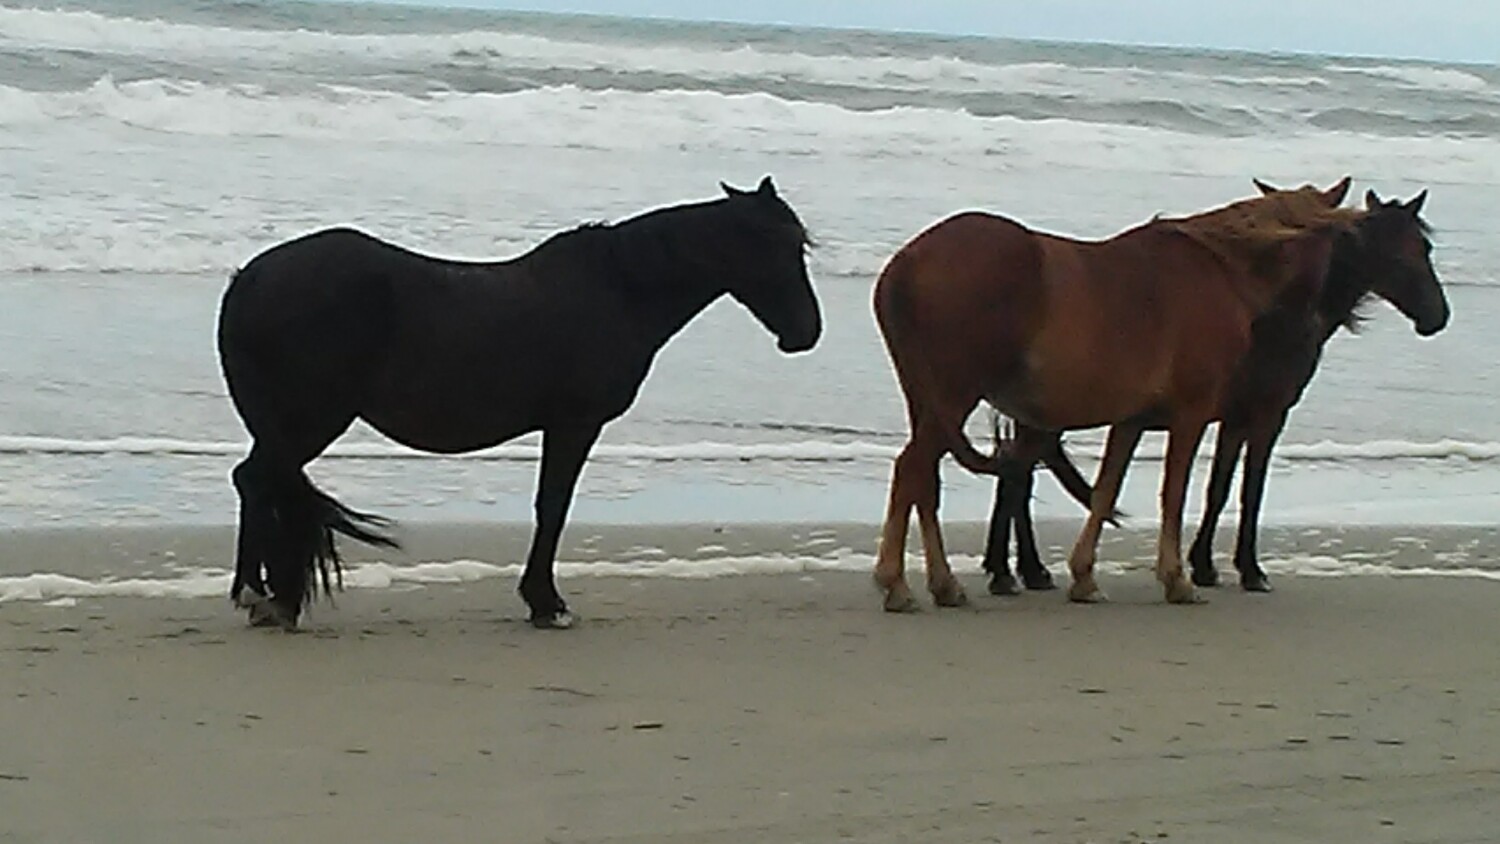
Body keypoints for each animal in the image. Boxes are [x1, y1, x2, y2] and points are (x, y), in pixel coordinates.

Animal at [217, 176, 822, 630]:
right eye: (781, 244)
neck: (619, 290)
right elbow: (553, 506)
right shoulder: (574, 423)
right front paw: (546, 603)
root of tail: (249, 279)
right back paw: (262, 596)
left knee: (257, 482)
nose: (806, 332)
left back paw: (264, 595)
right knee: (257, 480)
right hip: (310, 419)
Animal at [871, 185, 1358, 611]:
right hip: (955, 395)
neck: (1221, 270)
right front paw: (1176, 579)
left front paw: (1085, 577)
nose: (1309, 330)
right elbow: (1173, 494)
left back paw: (943, 585)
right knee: (913, 469)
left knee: (923, 479)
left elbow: (1107, 489)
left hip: (929, 404)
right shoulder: (1191, 414)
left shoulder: (1131, 420)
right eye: (1341, 239)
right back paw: (899, 585)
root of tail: (908, 262)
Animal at [980, 182, 1449, 596]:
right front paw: (1244, 570)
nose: (1436, 317)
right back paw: (1015, 572)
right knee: (1015, 476)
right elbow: (1245, 490)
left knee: (1015, 474)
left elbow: (1218, 488)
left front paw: (1203, 565)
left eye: (1425, 249)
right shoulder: (1264, 414)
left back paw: (1021, 571)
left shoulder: (1231, 417)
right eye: (1409, 251)